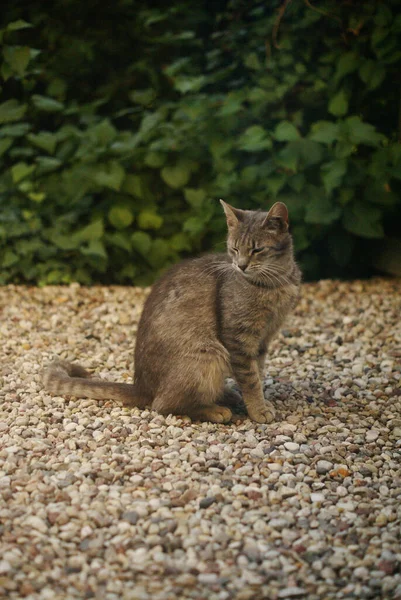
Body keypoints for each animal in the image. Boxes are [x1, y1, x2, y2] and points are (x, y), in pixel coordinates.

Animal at [43, 203, 300, 426]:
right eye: (234, 249)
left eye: (257, 250)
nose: (241, 265)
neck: (275, 284)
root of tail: (141, 387)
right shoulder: (239, 339)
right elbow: (250, 379)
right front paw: (258, 410)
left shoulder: (264, 339)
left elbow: (258, 373)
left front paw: (260, 403)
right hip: (209, 356)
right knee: (163, 404)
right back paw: (215, 410)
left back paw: (226, 395)